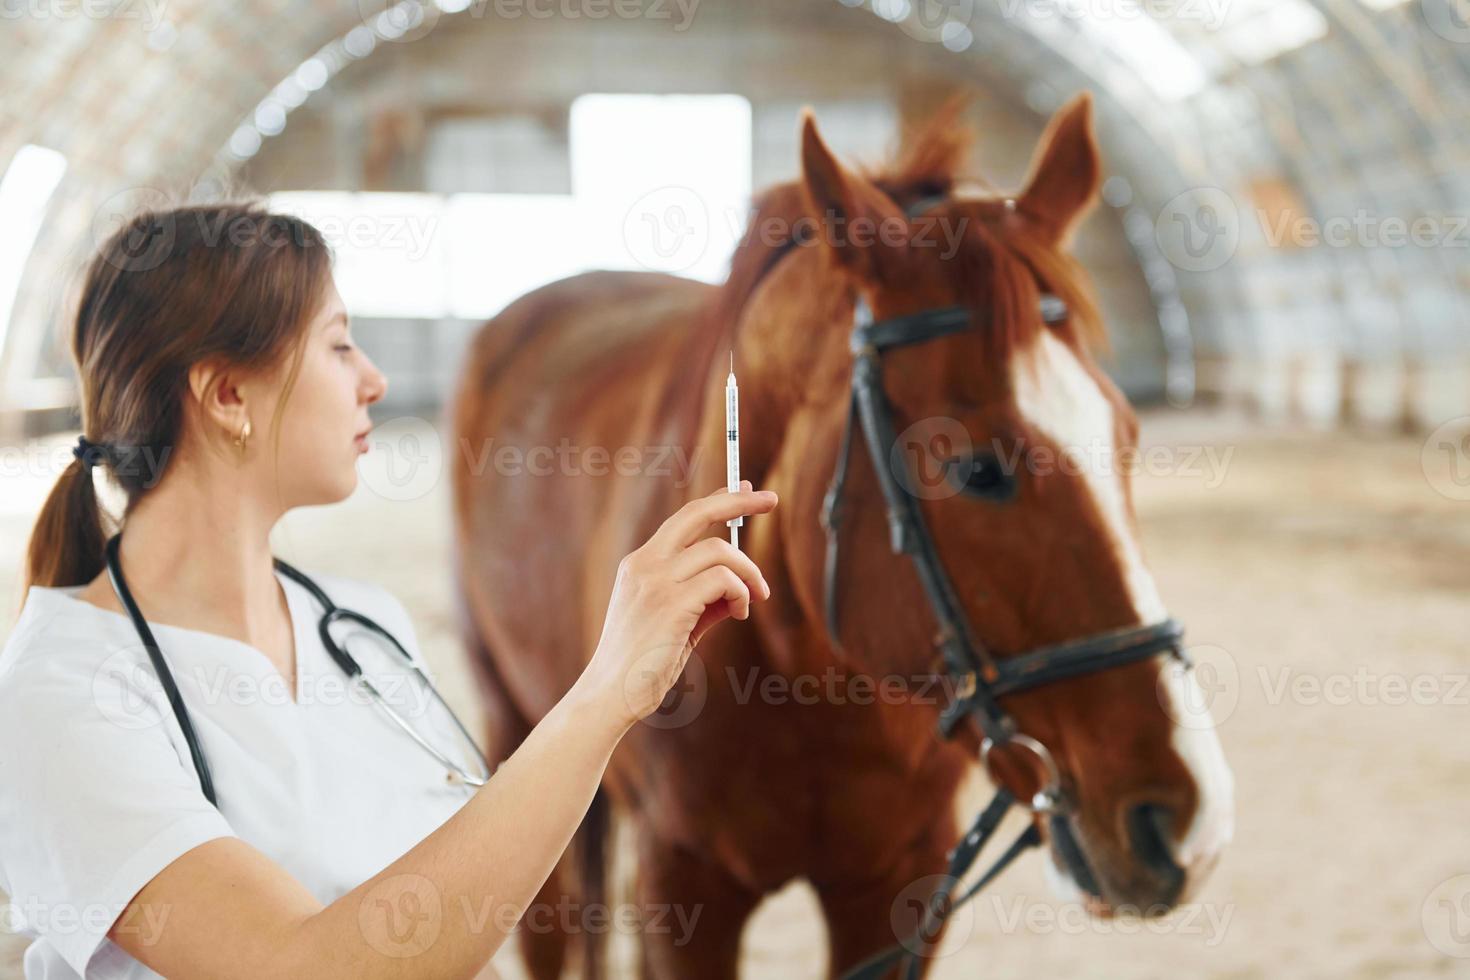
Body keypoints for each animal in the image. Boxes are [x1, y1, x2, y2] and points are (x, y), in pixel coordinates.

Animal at [446, 94, 1228, 980]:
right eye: (976, 469)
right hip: (511, 721)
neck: (810, 681)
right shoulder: (682, 890)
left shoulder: (903, 888)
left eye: (1126, 438)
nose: (1186, 821)